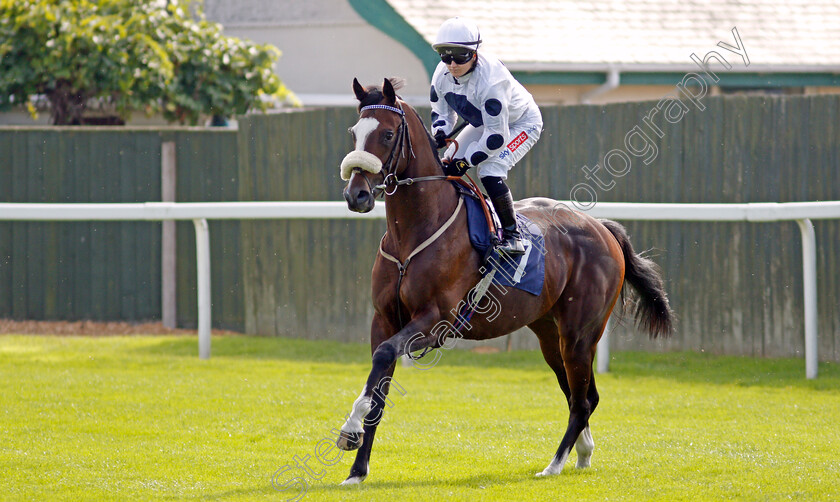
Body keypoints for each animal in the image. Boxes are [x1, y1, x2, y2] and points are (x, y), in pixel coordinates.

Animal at [338, 78, 672, 486]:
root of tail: (602, 228)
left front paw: (349, 429)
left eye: (387, 134)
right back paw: (583, 453)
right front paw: (357, 470)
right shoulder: (384, 319)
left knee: (582, 399)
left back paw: (555, 463)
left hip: (580, 333)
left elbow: (385, 356)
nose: (356, 194)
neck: (416, 233)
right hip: (549, 334)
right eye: (354, 132)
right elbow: (378, 386)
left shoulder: (435, 319)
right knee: (580, 393)